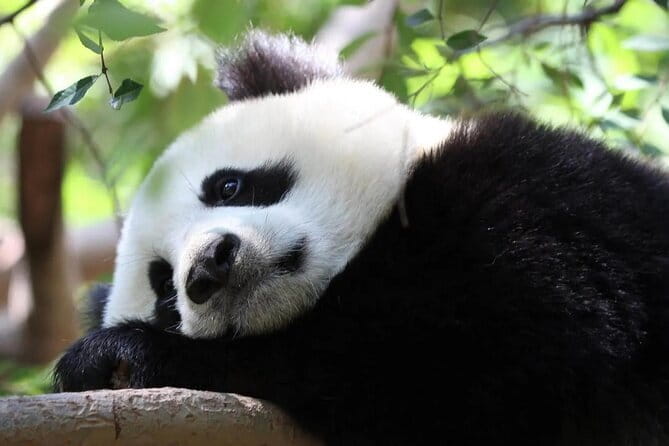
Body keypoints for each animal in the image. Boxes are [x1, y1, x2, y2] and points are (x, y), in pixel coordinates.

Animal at [54, 31, 669, 445]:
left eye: (229, 184)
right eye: (164, 288)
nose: (209, 266)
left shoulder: (541, 203)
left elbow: (454, 355)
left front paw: (125, 356)